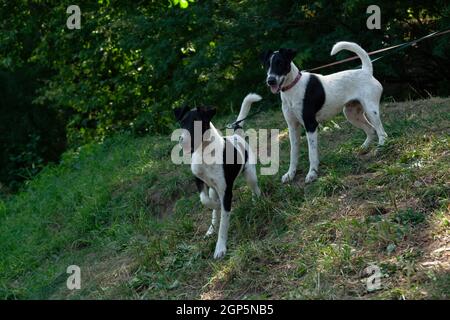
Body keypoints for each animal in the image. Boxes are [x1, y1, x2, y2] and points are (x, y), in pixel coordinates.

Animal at [173, 94, 264, 258]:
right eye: (182, 122)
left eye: (198, 122)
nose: (183, 141)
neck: (205, 153)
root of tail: (237, 136)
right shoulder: (199, 180)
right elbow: (205, 200)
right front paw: (216, 207)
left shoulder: (226, 190)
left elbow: (224, 223)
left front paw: (220, 248)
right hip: (212, 189)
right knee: (213, 207)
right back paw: (211, 228)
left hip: (250, 175)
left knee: (255, 188)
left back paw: (258, 202)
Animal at [262, 41, 388, 184]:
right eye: (267, 64)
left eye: (280, 63)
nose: (270, 80)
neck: (293, 88)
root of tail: (366, 71)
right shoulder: (292, 127)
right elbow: (293, 154)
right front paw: (290, 174)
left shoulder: (311, 125)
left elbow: (312, 154)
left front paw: (312, 174)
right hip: (351, 114)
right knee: (371, 130)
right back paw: (364, 148)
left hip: (371, 111)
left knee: (382, 133)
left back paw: (380, 149)